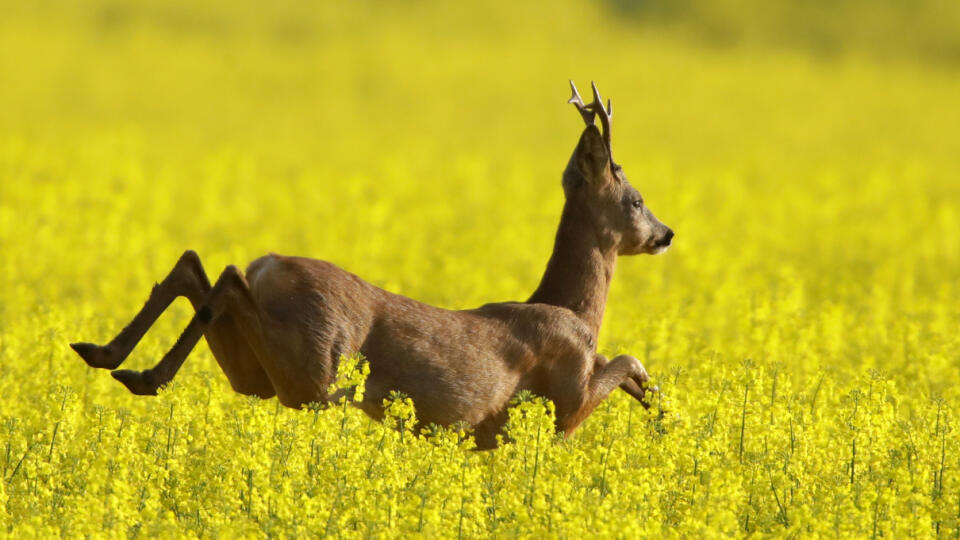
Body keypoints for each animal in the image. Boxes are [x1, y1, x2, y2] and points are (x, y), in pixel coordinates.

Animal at [71, 80, 676, 450]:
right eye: (637, 199)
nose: (666, 235)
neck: (572, 308)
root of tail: (272, 267)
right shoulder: (565, 405)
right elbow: (628, 360)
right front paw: (662, 410)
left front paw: (663, 413)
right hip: (314, 371)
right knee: (226, 278)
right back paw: (141, 371)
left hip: (262, 377)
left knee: (198, 268)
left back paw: (111, 357)